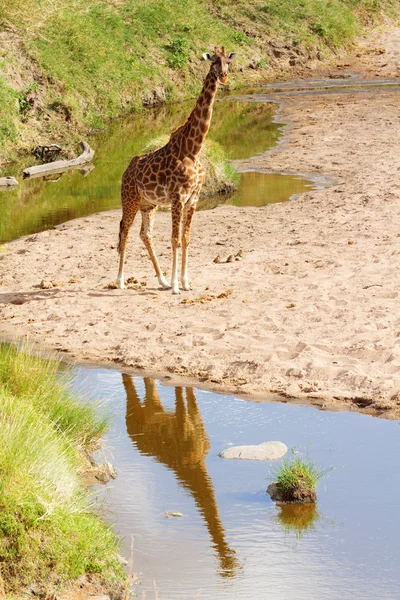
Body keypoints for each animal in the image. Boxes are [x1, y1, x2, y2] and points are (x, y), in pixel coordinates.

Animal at [116, 45, 238, 294]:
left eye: (228, 62)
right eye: (213, 62)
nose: (223, 76)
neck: (193, 149)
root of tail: (126, 171)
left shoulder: (193, 198)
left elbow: (186, 238)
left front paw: (185, 282)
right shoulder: (177, 197)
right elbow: (174, 239)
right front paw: (175, 286)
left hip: (149, 204)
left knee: (145, 234)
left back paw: (161, 280)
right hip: (130, 198)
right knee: (124, 229)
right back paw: (121, 281)